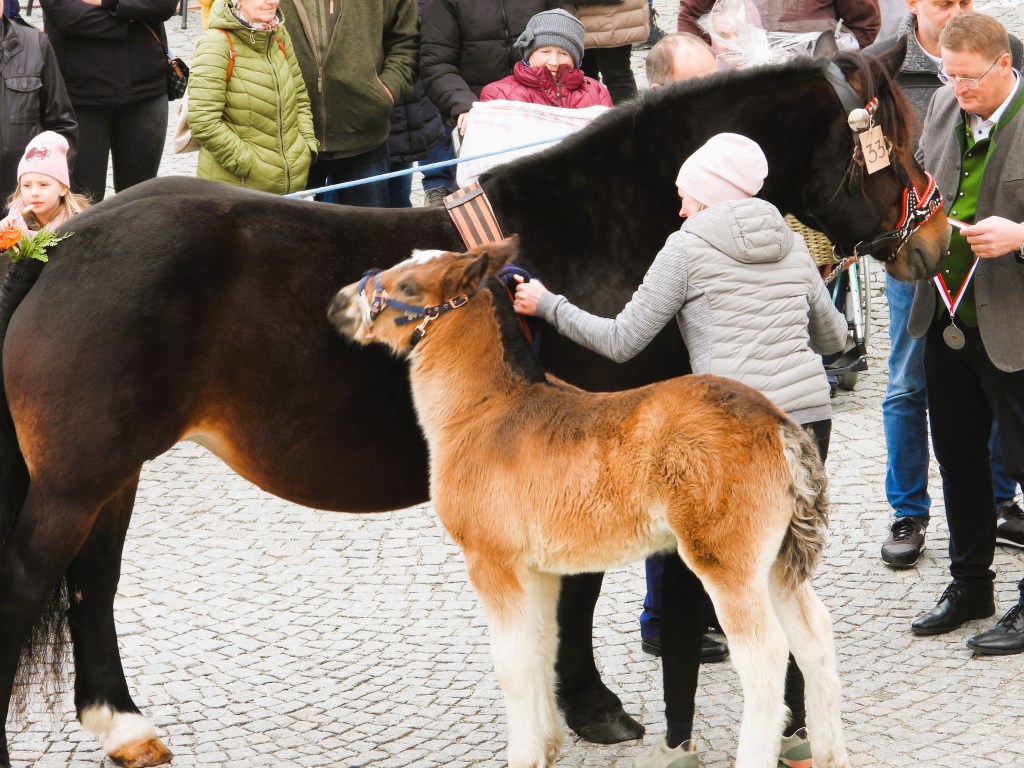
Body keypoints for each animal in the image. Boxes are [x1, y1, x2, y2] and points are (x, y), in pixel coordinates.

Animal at [0, 43, 948, 768]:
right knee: (34, 581)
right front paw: (592, 706)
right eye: (893, 141)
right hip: (76, 480)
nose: (936, 235)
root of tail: (58, 244)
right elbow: (577, 598)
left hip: (114, 475)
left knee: (93, 584)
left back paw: (123, 726)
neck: (601, 227)